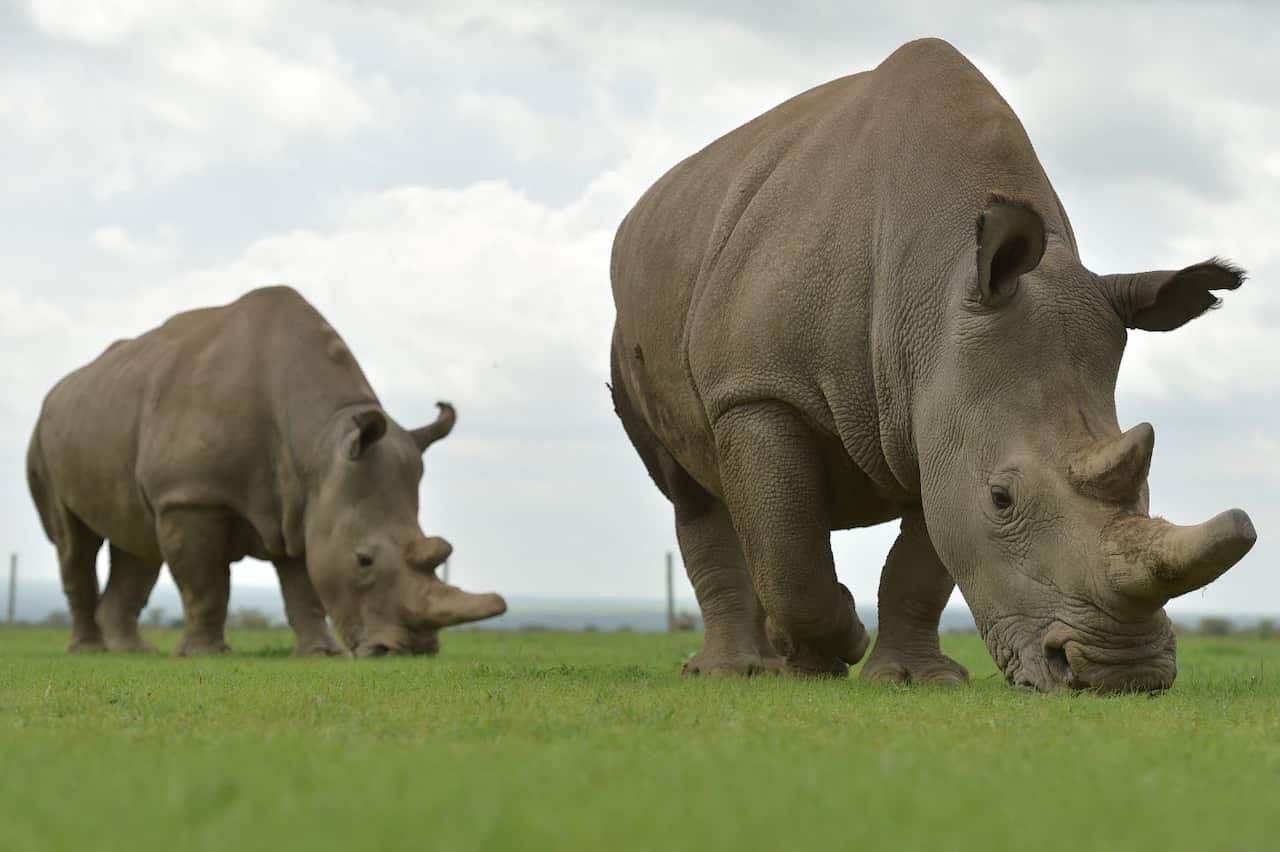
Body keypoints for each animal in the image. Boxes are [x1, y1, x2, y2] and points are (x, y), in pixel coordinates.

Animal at [27, 286, 506, 657]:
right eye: (364, 560)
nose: (411, 651)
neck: (318, 440)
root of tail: (59, 389)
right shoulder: (191, 496)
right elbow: (206, 583)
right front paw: (205, 655)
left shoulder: (302, 503)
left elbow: (304, 584)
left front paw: (321, 654)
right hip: (46, 435)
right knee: (75, 545)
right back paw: (89, 651)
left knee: (137, 543)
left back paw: (133, 652)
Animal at [609, 38, 1256, 692]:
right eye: (1002, 499)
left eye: (1148, 488)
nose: (1122, 674)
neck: (936, 284)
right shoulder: (757, 390)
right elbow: (791, 548)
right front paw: (836, 645)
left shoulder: (941, 408)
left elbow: (919, 566)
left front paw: (913, 679)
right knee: (696, 495)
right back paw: (732, 671)